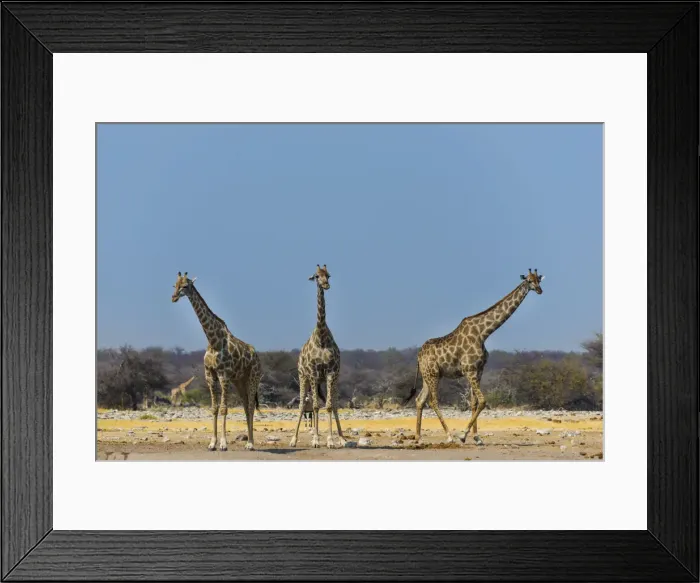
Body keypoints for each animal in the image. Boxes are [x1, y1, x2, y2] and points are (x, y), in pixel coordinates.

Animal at [171, 272, 262, 451]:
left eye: (185, 286)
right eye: (174, 285)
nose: (174, 297)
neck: (214, 341)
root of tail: (256, 355)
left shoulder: (223, 375)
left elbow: (224, 409)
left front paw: (223, 444)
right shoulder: (209, 375)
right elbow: (214, 408)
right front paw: (212, 443)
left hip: (253, 377)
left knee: (250, 406)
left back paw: (250, 443)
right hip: (239, 381)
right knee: (246, 405)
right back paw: (248, 441)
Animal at [290, 264, 346, 449]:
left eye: (328, 275)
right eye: (316, 276)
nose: (326, 285)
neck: (321, 337)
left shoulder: (331, 373)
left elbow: (328, 406)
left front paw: (331, 440)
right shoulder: (314, 374)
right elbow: (314, 406)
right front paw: (315, 440)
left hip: (330, 380)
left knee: (333, 404)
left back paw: (342, 439)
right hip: (303, 377)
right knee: (302, 405)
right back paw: (294, 440)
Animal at [404, 268, 545, 445]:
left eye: (539, 279)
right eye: (528, 281)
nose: (539, 290)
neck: (483, 333)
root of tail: (418, 356)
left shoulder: (479, 370)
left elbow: (474, 402)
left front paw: (477, 437)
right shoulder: (469, 370)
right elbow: (483, 401)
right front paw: (462, 435)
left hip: (428, 375)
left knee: (420, 400)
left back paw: (418, 437)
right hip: (433, 375)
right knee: (433, 401)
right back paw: (449, 435)